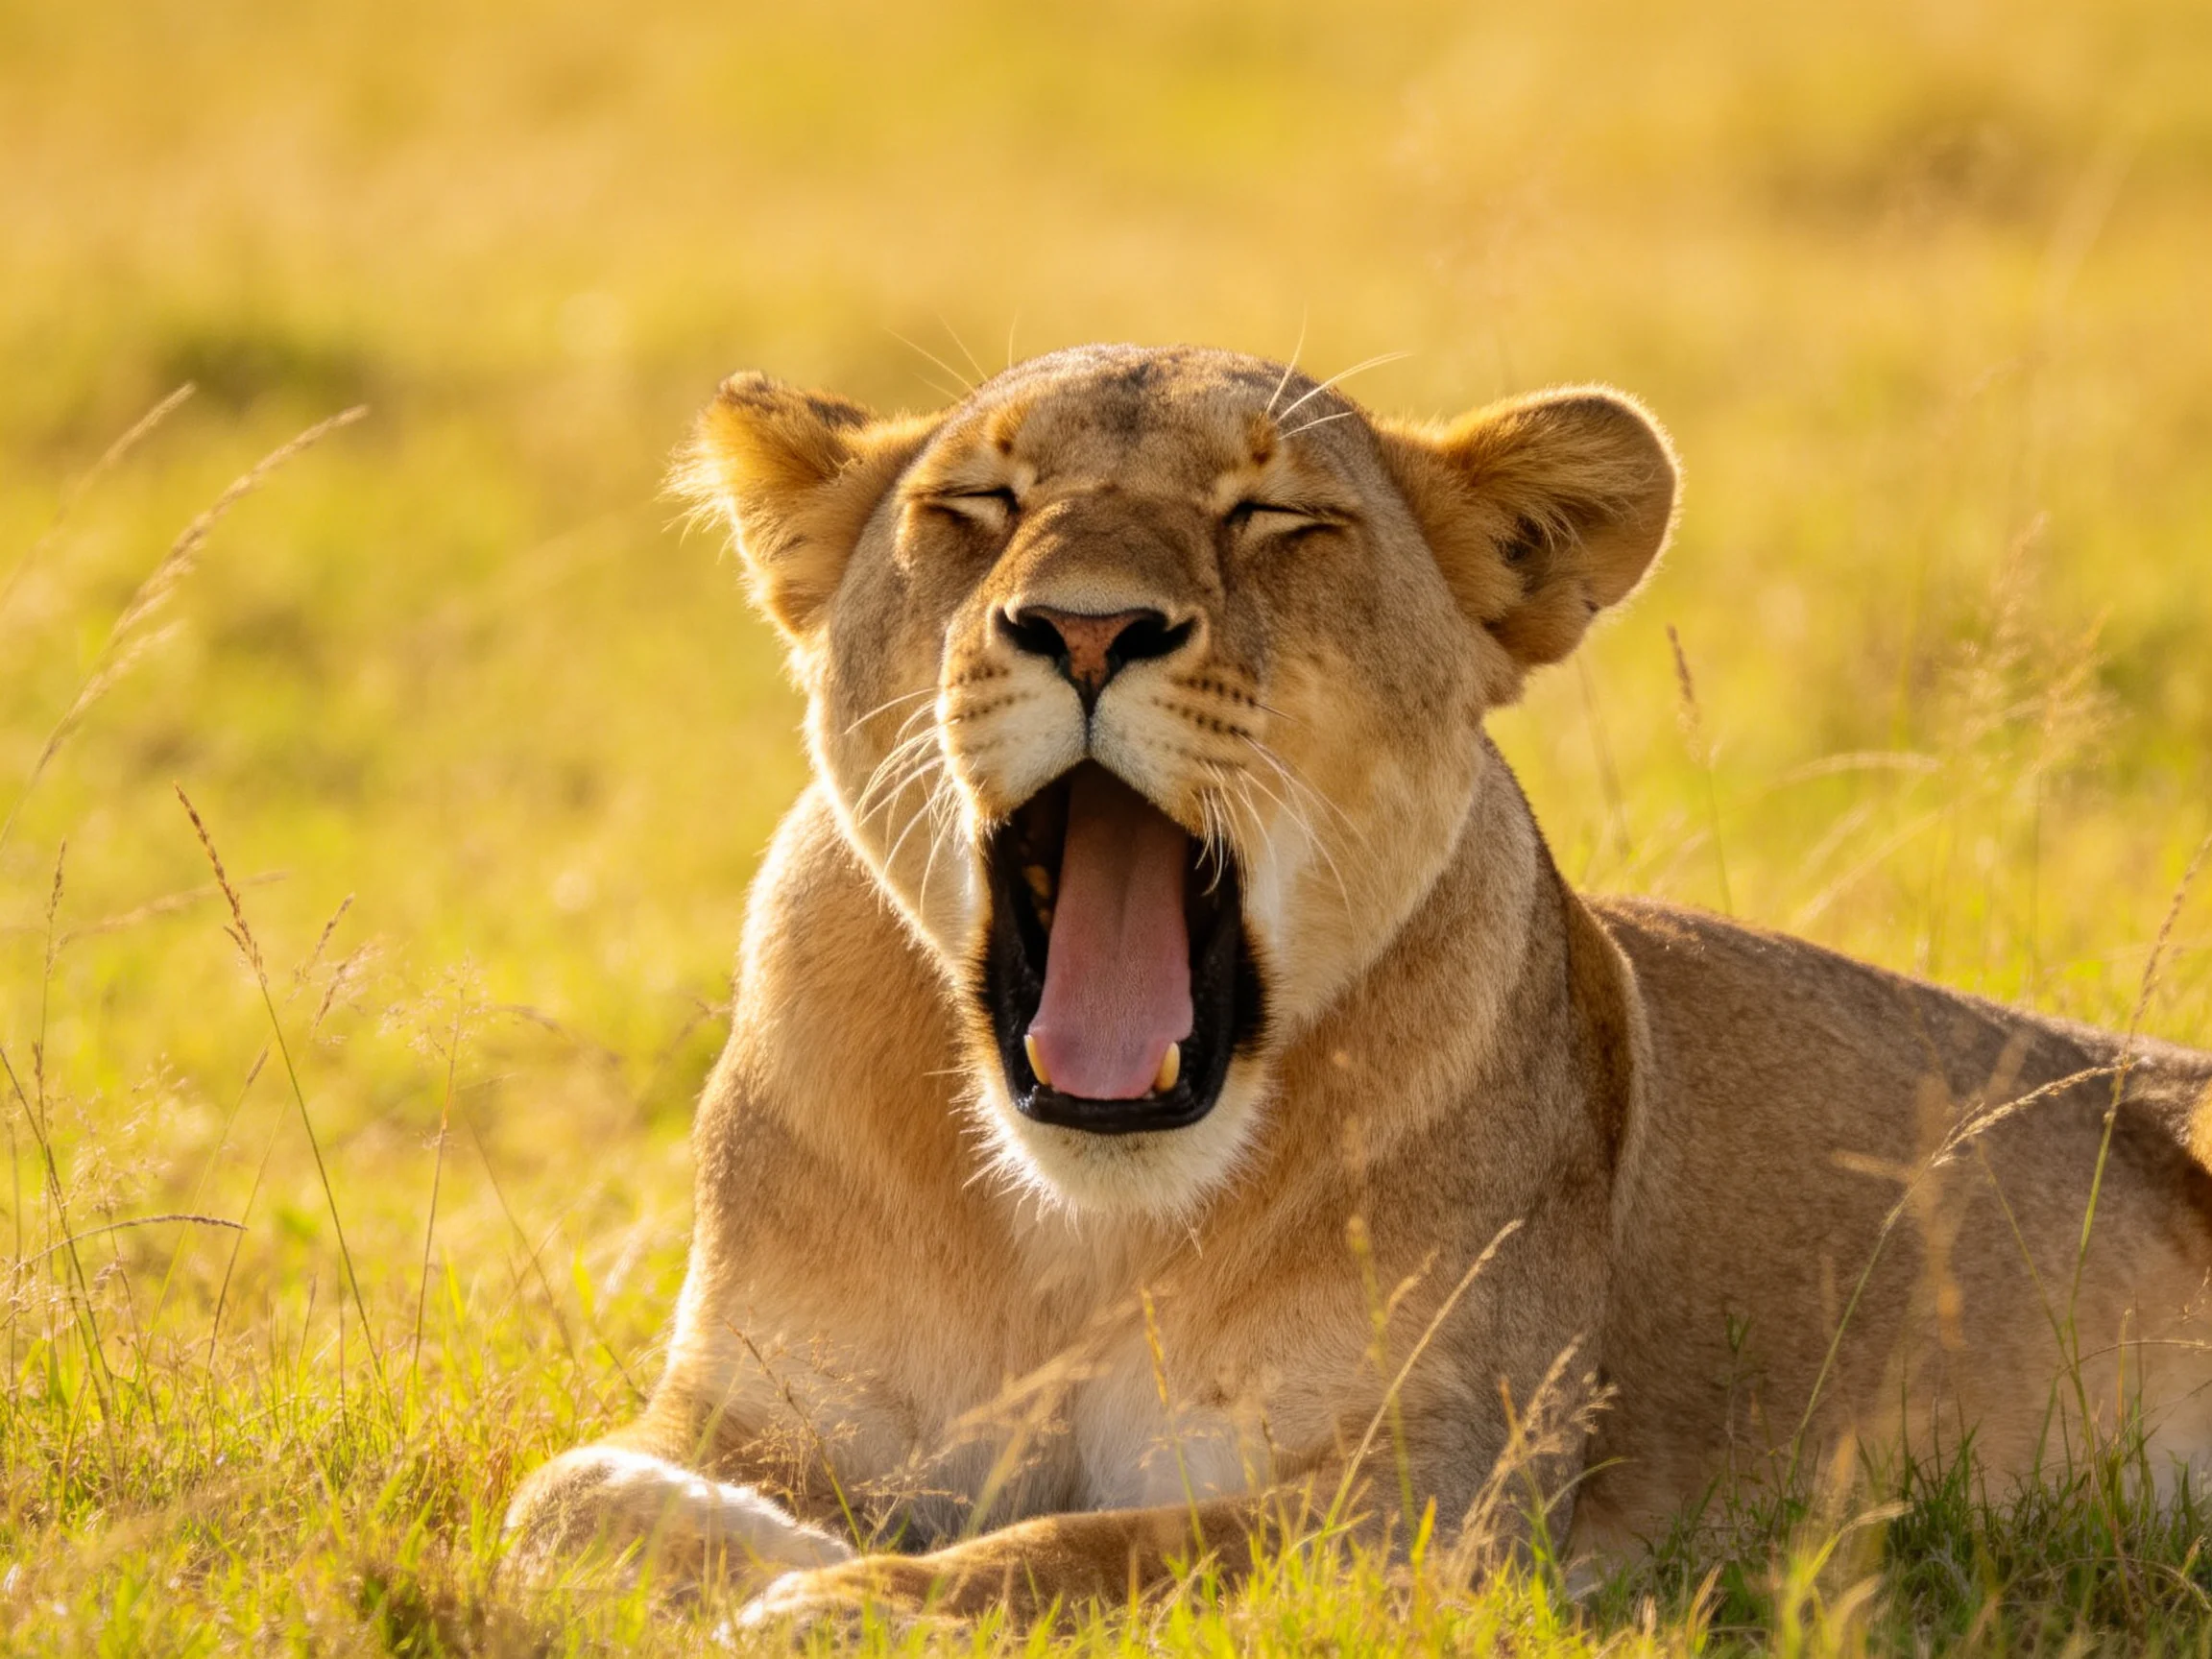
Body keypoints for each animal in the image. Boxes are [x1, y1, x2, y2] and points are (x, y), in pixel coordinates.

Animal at [504, 343, 2212, 1624]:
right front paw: (765, 1547)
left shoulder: (1432, 1502)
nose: (1085, 627)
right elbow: (558, 1499)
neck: (1074, 1234)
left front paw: (843, 1596)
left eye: (1277, 516)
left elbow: (1099, 1552)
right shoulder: (762, 1404)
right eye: (978, 504)